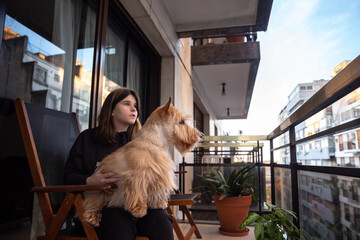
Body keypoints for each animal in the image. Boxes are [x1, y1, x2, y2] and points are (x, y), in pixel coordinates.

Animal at [83, 96, 202, 226]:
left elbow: (157, 191)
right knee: (92, 203)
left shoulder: (158, 176)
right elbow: (138, 192)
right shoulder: (138, 177)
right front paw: (139, 209)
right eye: (181, 122)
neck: (155, 142)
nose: (200, 135)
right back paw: (92, 217)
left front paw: (158, 204)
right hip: (99, 192)